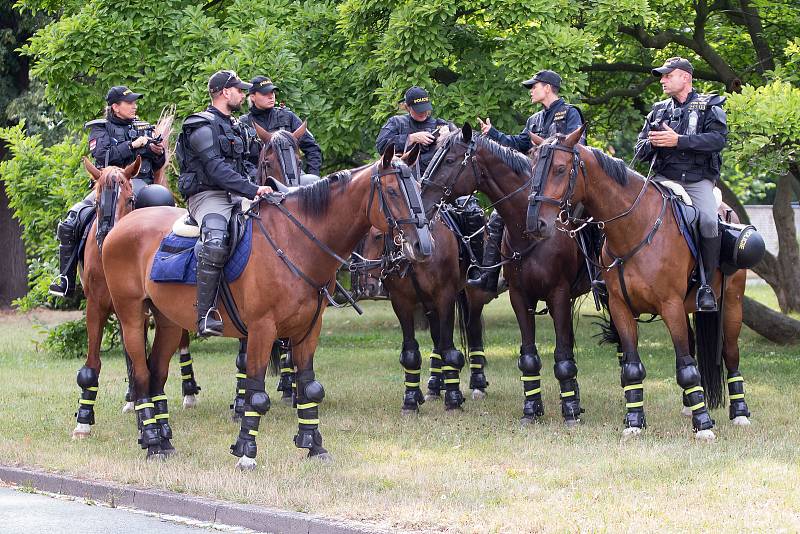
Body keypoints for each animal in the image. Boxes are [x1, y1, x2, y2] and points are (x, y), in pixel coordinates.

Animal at [103, 147, 434, 468]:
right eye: (391, 191)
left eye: (419, 188)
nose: (423, 246)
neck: (296, 241)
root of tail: (122, 225)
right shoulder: (262, 330)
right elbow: (257, 395)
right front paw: (246, 451)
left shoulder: (308, 330)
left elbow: (309, 387)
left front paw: (314, 446)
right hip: (131, 318)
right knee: (142, 377)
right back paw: (152, 443)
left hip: (169, 323)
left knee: (156, 376)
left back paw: (163, 442)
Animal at [418, 124, 592, 428]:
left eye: (449, 160)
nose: (421, 200)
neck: (529, 229)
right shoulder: (519, 297)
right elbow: (530, 356)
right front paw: (531, 409)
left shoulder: (558, 295)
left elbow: (561, 353)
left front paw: (569, 409)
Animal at [528, 125, 752, 440]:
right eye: (533, 167)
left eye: (560, 169)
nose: (536, 223)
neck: (635, 227)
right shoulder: (621, 308)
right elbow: (633, 367)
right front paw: (634, 421)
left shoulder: (670, 306)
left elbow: (687, 368)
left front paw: (704, 425)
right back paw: (690, 406)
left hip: (731, 304)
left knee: (730, 354)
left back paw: (739, 412)